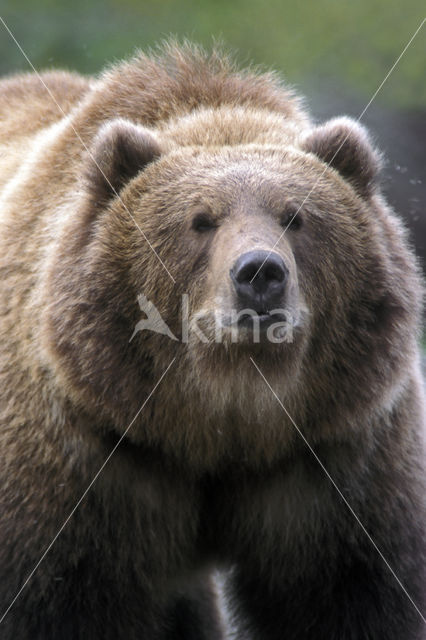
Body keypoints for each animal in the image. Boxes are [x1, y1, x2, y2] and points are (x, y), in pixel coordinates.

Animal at [0, 42, 424, 636]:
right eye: (200, 219)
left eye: (295, 216)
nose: (260, 273)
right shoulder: (80, 462)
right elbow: (62, 598)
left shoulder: (336, 458)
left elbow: (352, 591)